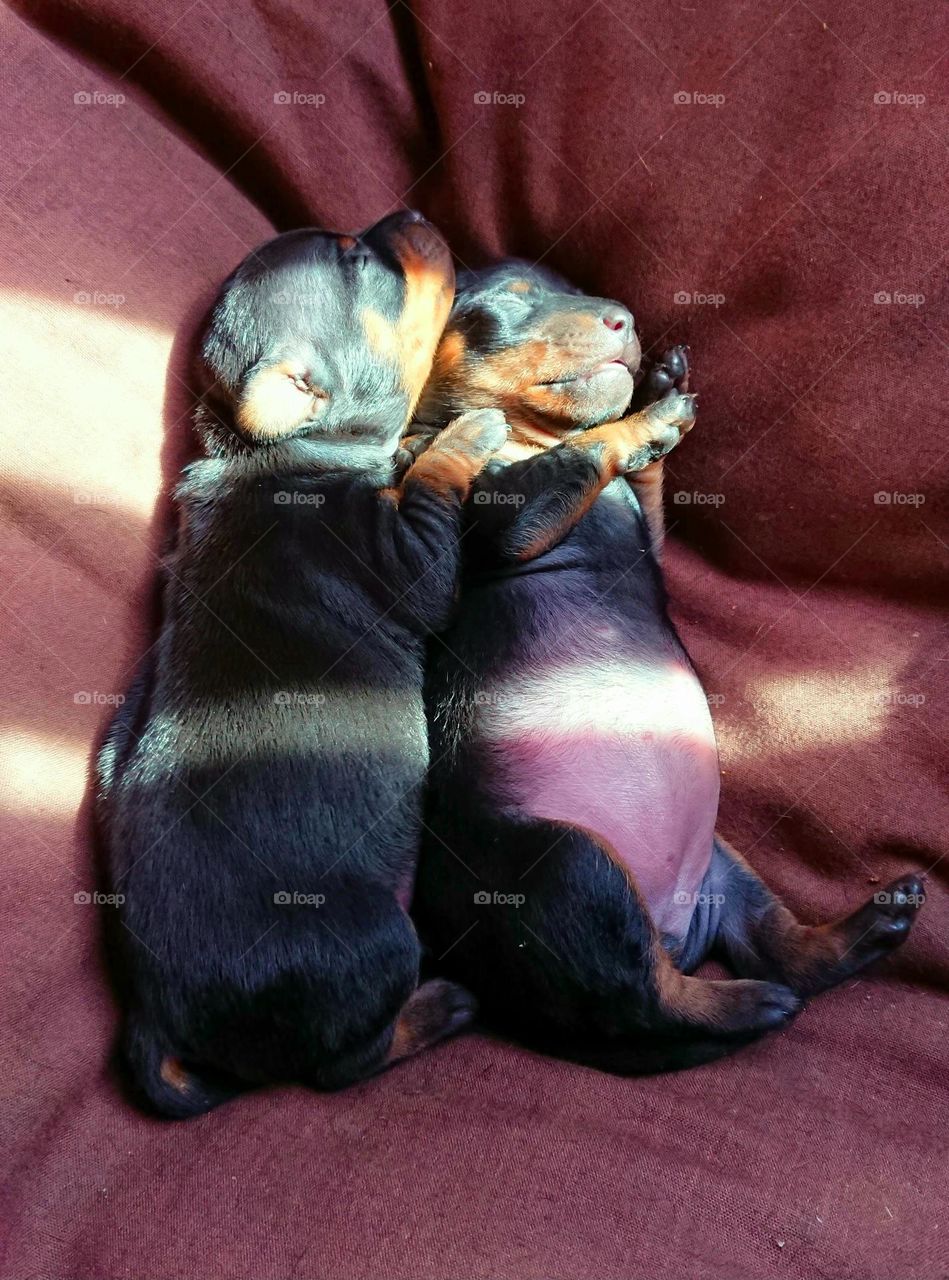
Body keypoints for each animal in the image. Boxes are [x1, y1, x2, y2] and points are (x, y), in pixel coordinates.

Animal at [97, 215, 509, 1116]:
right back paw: (442, 1006)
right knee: (344, 1064)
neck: (274, 452)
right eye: (359, 260)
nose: (413, 218)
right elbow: (433, 481)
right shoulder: (411, 560)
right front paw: (463, 434)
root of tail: (154, 1015)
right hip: (377, 941)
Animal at [409, 257, 922, 1070]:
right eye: (511, 302)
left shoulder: (642, 534)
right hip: (566, 863)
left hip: (720, 856)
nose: (623, 318)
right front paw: (652, 416)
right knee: (642, 1005)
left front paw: (658, 391)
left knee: (773, 945)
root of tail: (675, 931)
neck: (523, 438)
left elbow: (641, 491)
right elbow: (587, 449)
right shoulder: (492, 514)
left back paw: (875, 921)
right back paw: (750, 1006)